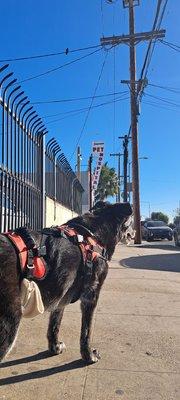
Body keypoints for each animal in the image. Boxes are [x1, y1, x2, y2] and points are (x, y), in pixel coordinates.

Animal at [0, 202, 132, 364]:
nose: (134, 232)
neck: (94, 233)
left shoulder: (60, 295)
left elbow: (54, 324)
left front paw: (55, 347)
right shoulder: (91, 295)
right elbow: (86, 331)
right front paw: (89, 355)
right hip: (9, 320)